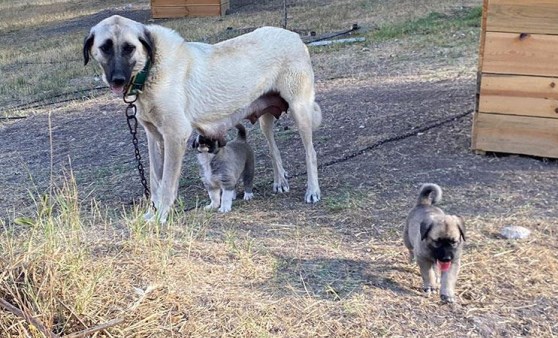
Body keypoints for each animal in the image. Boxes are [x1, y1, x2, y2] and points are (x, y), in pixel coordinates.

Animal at [85, 15, 326, 223]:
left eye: (129, 47)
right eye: (105, 47)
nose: (117, 80)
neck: (150, 68)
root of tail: (294, 36)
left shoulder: (175, 135)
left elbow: (167, 184)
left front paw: (161, 216)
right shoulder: (154, 138)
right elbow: (155, 182)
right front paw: (151, 212)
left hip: (300, 111)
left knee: (311, 153)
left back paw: (312, 190)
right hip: (266, 119)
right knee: (273, 148)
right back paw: (280, 181)